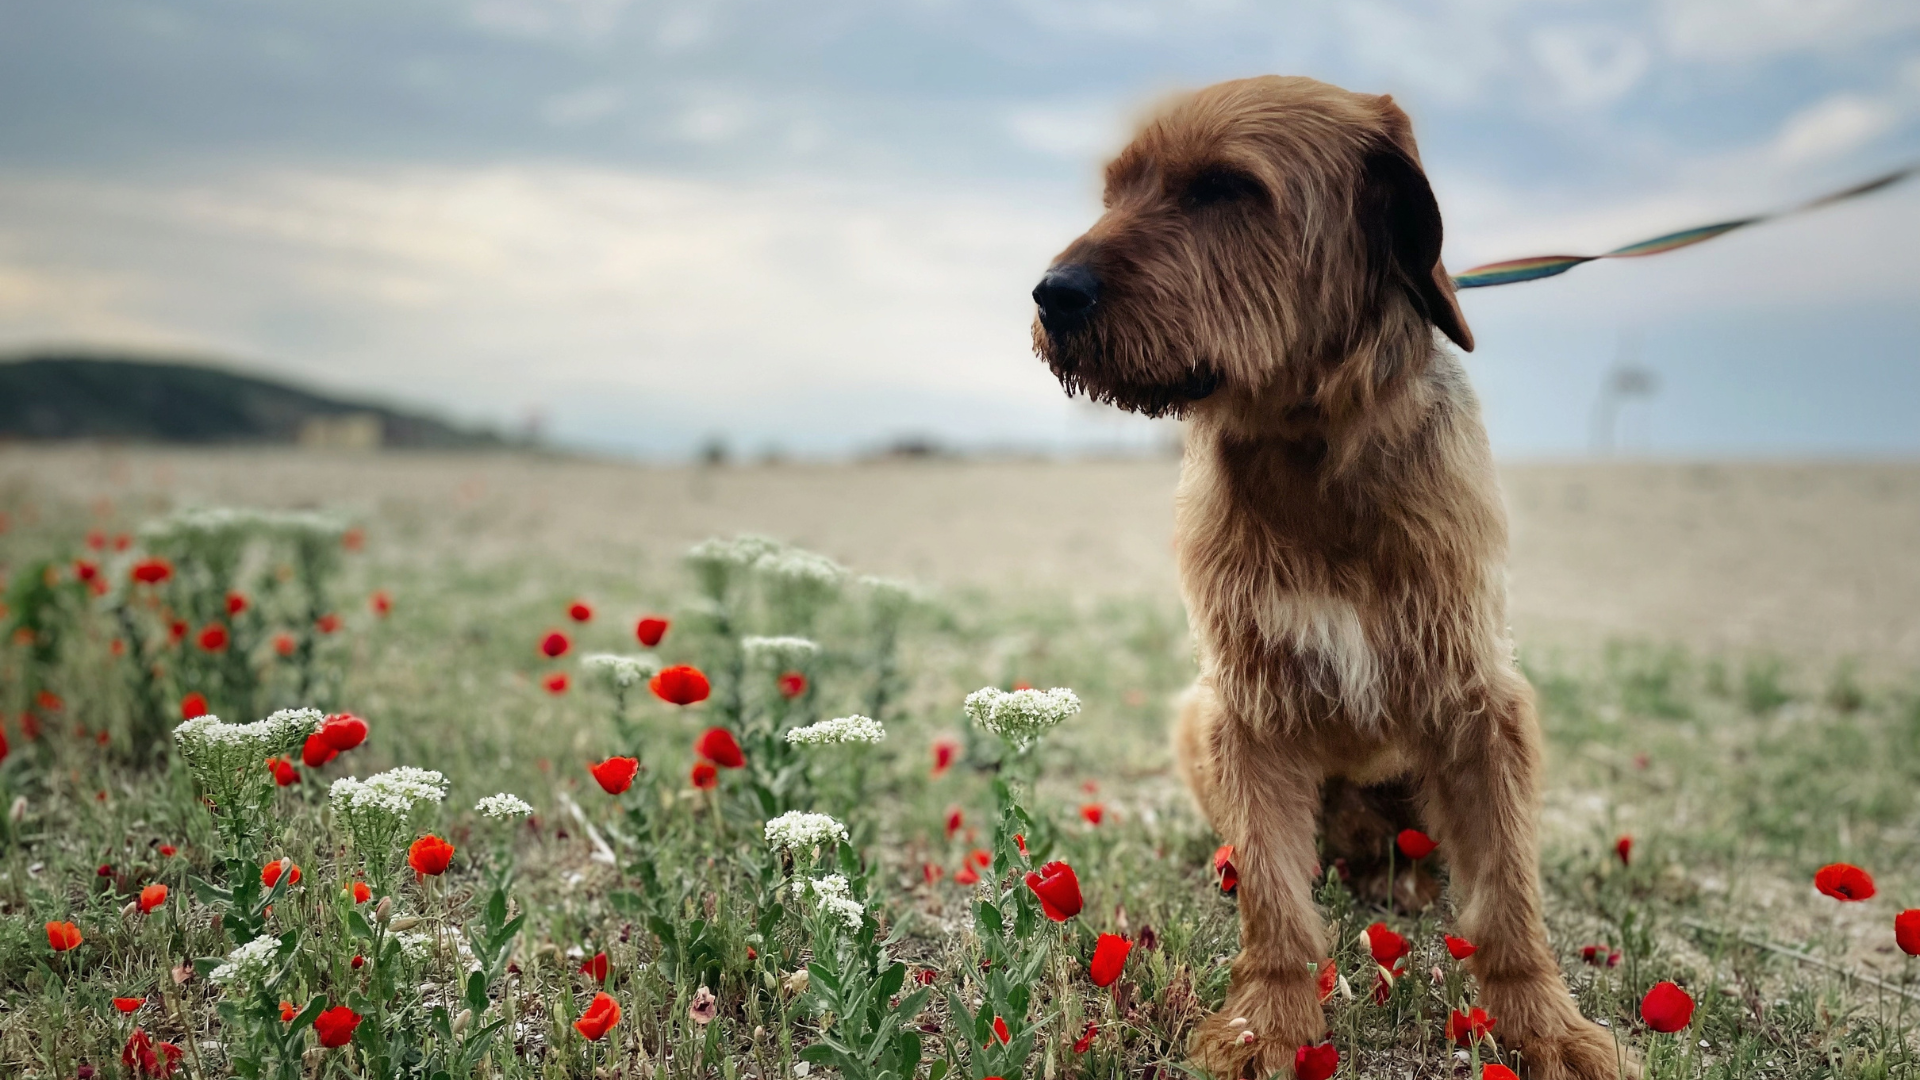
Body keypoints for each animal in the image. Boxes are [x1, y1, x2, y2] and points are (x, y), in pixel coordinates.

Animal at [1029, 77, 1628, 1076]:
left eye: (1226, 188)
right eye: (1115, 192)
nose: (1051, 294)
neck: (1310, 456)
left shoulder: (1482, 703)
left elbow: (1507, 898)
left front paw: (1544, 1025)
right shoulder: (1250, 707)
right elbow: (1276, 899)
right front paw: (1270, 1023)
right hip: (1197, 717)